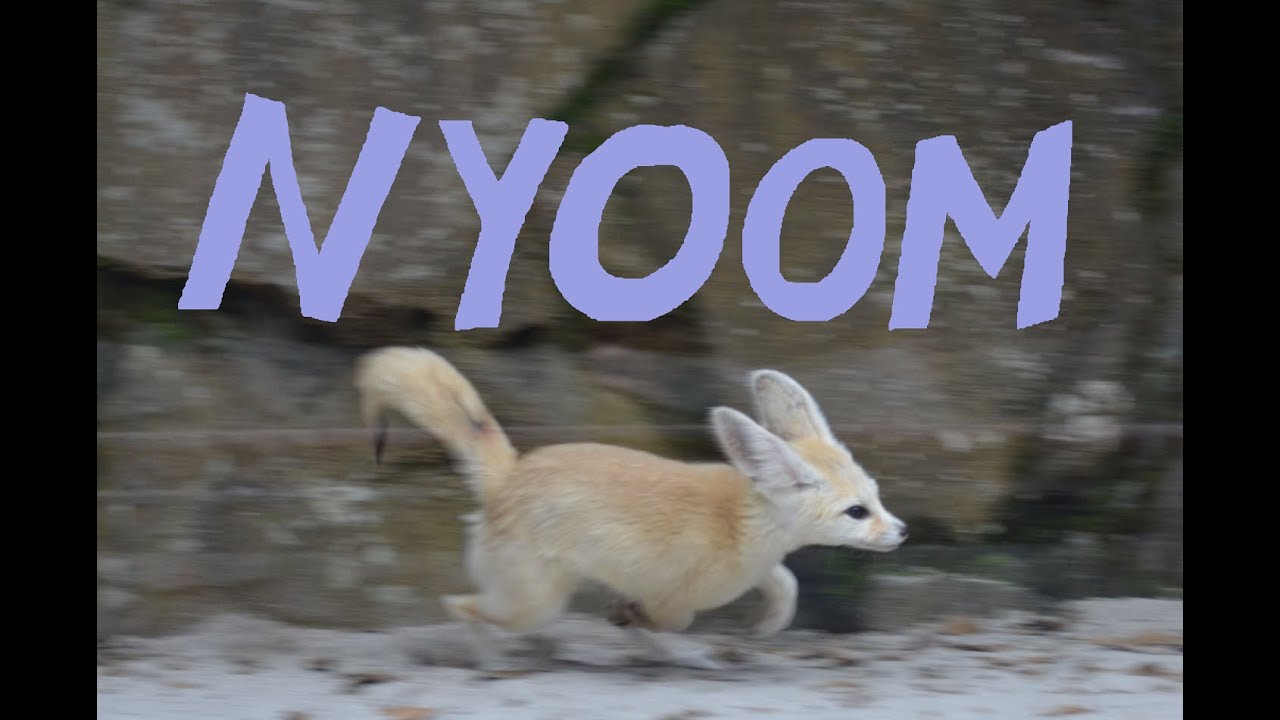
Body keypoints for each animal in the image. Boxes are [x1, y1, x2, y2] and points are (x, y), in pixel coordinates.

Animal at [353, 346, 908, 671]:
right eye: (857, 513)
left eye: (877, 496)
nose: (903, 531)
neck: (743, 521)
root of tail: (510, 473)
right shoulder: (673, 596)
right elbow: (667, 621)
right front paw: (645, 627)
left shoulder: (748, 569)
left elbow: (787, 585)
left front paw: (767, 624)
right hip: (532, 603)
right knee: (460, 606)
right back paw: (492, 659)